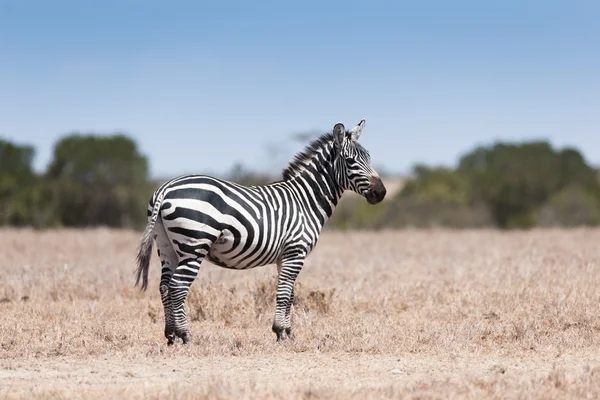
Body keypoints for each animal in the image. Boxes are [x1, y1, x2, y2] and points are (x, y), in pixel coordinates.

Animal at [135, 119, 386, 344]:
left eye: (369, 157)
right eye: (350, 160)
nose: (381, 193)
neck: (305, 199)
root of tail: (165, 187)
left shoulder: (285, 256)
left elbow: (290, 294)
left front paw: (287, 332)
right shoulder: (296, 252)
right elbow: (284, 294)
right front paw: (281, 333)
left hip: (167, 247)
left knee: (164, 286)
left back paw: (170, 336)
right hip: (194, 246)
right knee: (177, 287)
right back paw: (185, 335)